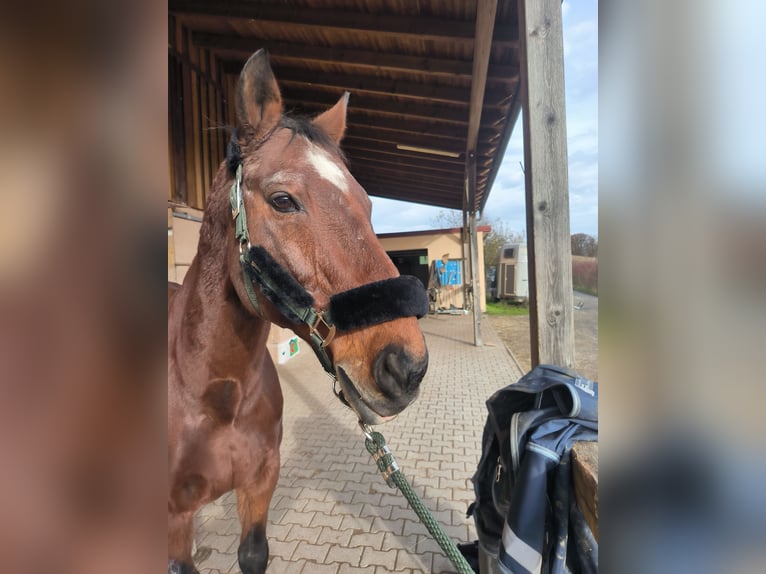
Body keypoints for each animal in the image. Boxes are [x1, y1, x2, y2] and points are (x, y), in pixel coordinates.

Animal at [168, 50, 428, 574]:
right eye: (283, 200)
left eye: (367, 203)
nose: (406, 366)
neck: (211, 392)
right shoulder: (172, 520)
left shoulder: (259, 490)